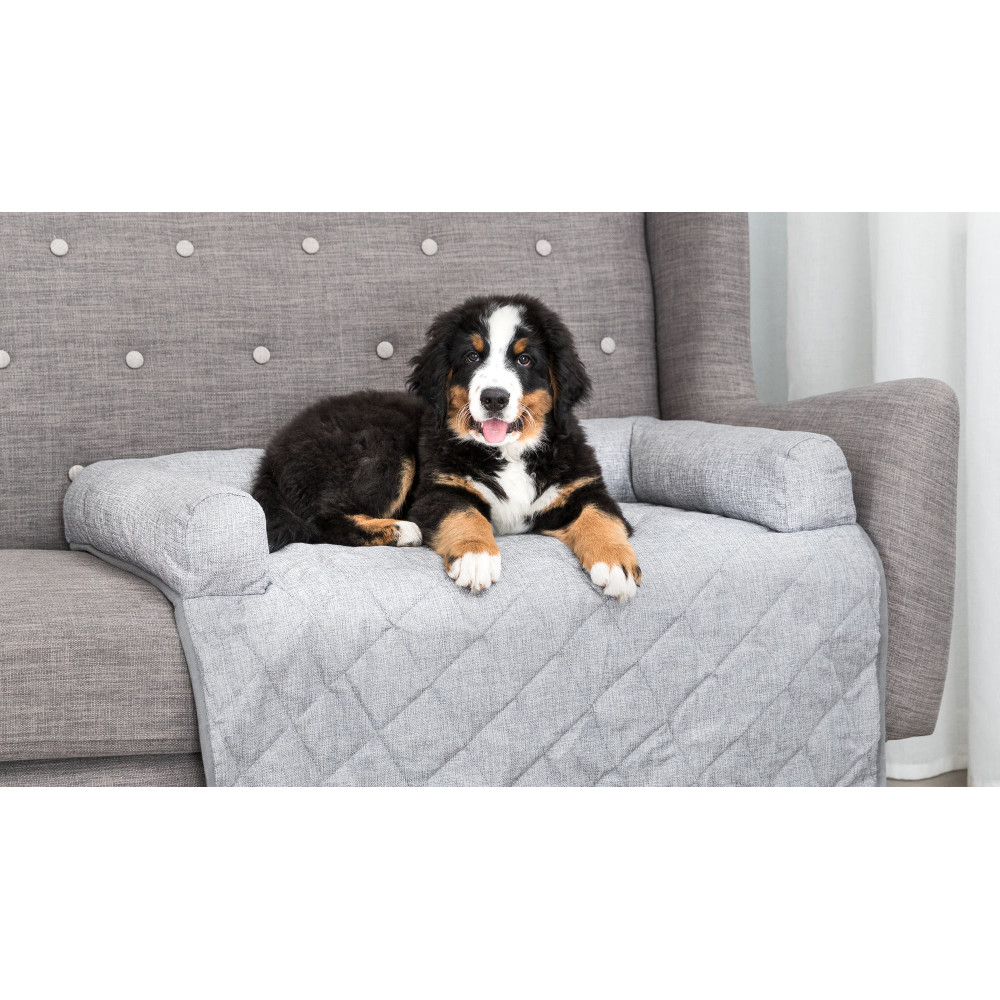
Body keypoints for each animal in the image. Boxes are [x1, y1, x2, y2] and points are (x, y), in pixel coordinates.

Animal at [252, 294, 641, 601]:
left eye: (525, 359)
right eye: (472, 357)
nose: (494, 398)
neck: (508, 452)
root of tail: (272, 454)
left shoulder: (582, 487)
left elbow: (602, 516)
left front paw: (616, 564)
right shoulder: (439, 489)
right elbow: (464, 514)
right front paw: (476, 557)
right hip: (385, 445)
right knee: (320, 519)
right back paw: (400, 530)